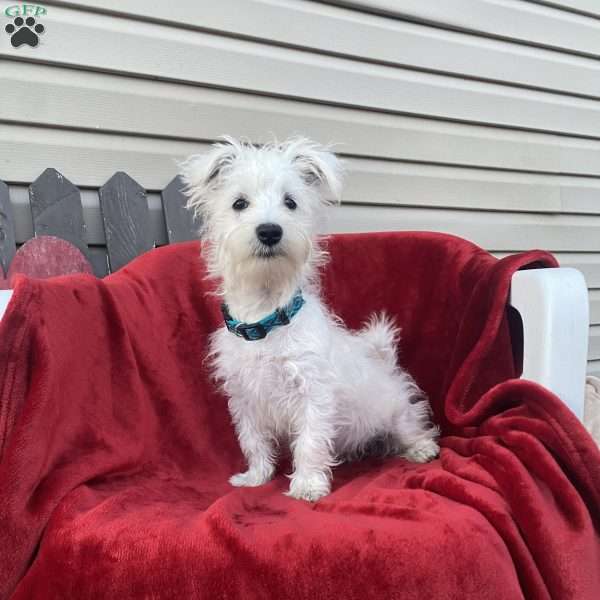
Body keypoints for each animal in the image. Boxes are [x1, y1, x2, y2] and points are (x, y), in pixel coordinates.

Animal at [180, 137, 438, 502]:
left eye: (291, 202)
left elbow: (310, 442)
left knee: (414, 427)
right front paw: (255, 478)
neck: (266, 322)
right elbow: (253, 442)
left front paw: (307, 486)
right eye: (239, 203)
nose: (269, 231)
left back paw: (421, 449)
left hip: (397, 411)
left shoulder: (313, 393)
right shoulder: (245, 400)